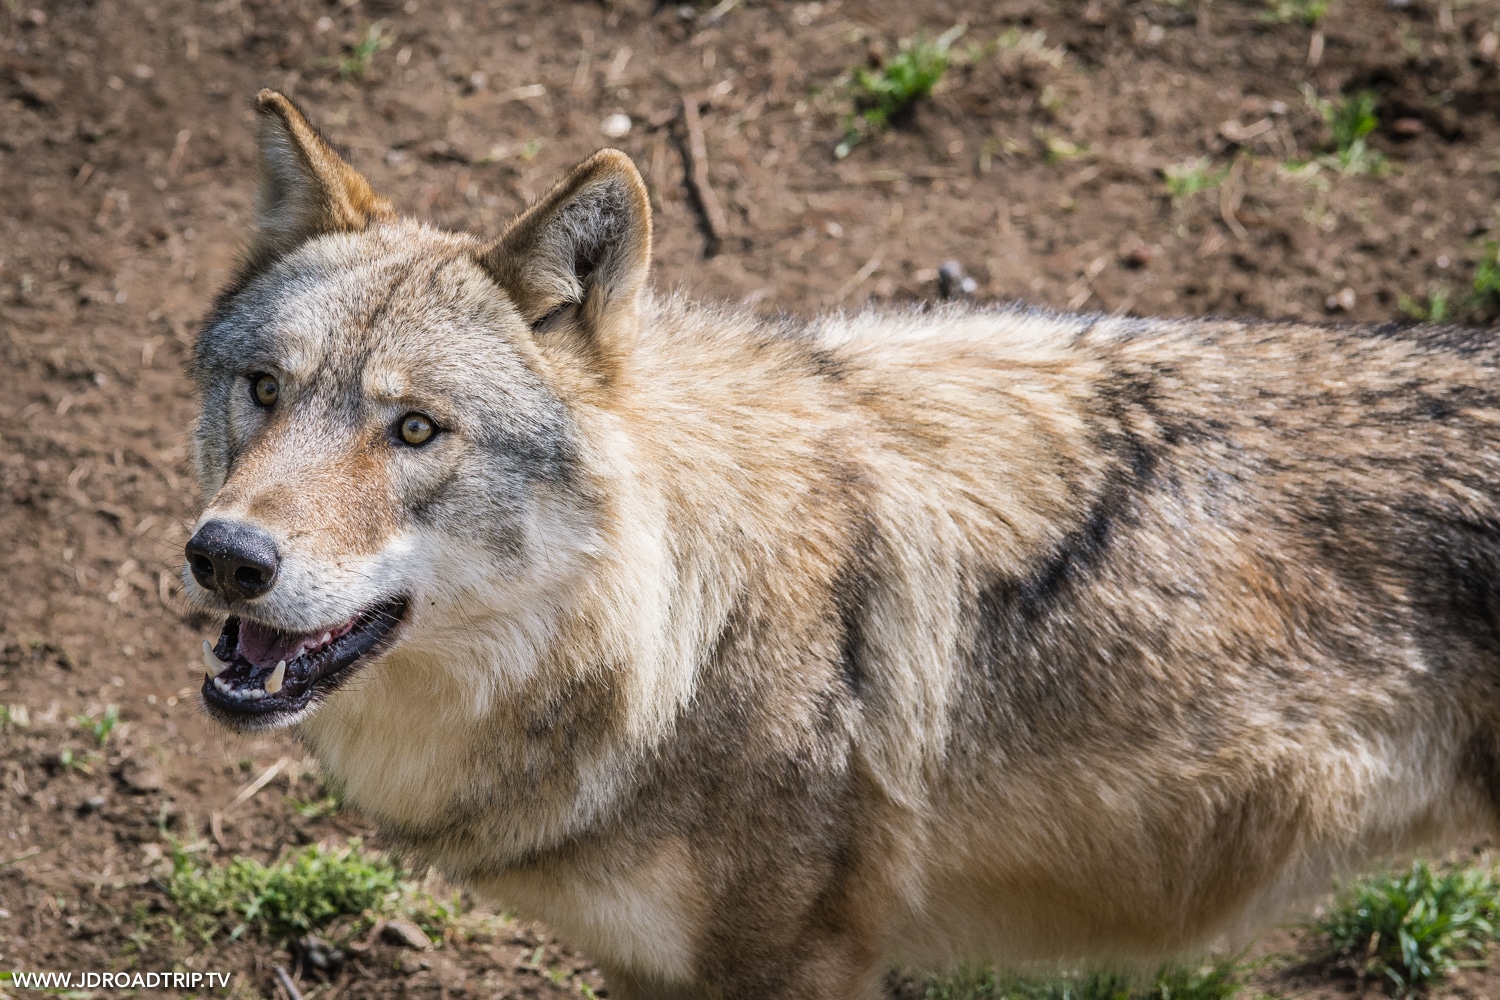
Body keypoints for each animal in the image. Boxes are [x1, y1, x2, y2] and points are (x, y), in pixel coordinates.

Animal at [184, 89, 1500, 995]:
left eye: (414, 428)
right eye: (264, 389)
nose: (226, 556)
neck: (682, 636)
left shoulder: (797, 961)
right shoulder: (639, 963)